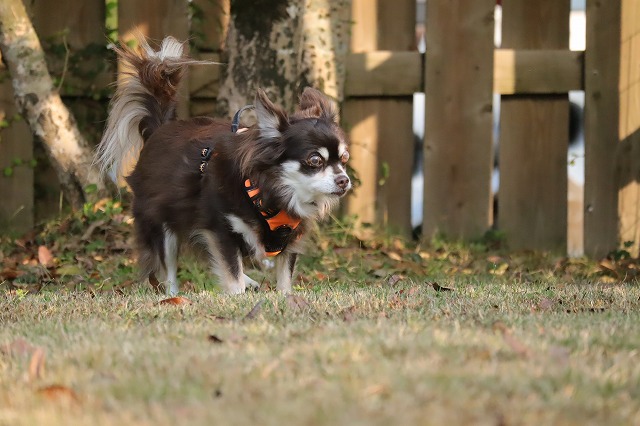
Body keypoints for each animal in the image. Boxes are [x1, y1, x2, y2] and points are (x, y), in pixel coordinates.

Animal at [95, 36, 351, 295]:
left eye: (344, 158)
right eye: (315, 160)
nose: (344, 180)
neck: (271, 192)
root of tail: (159, 129)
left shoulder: (289, 241)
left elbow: (284, 278)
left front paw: (284, 297)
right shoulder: (221, 230)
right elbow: (232, 272)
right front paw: (238, 297)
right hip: (160, 224)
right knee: (168, 272)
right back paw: (173, 297)